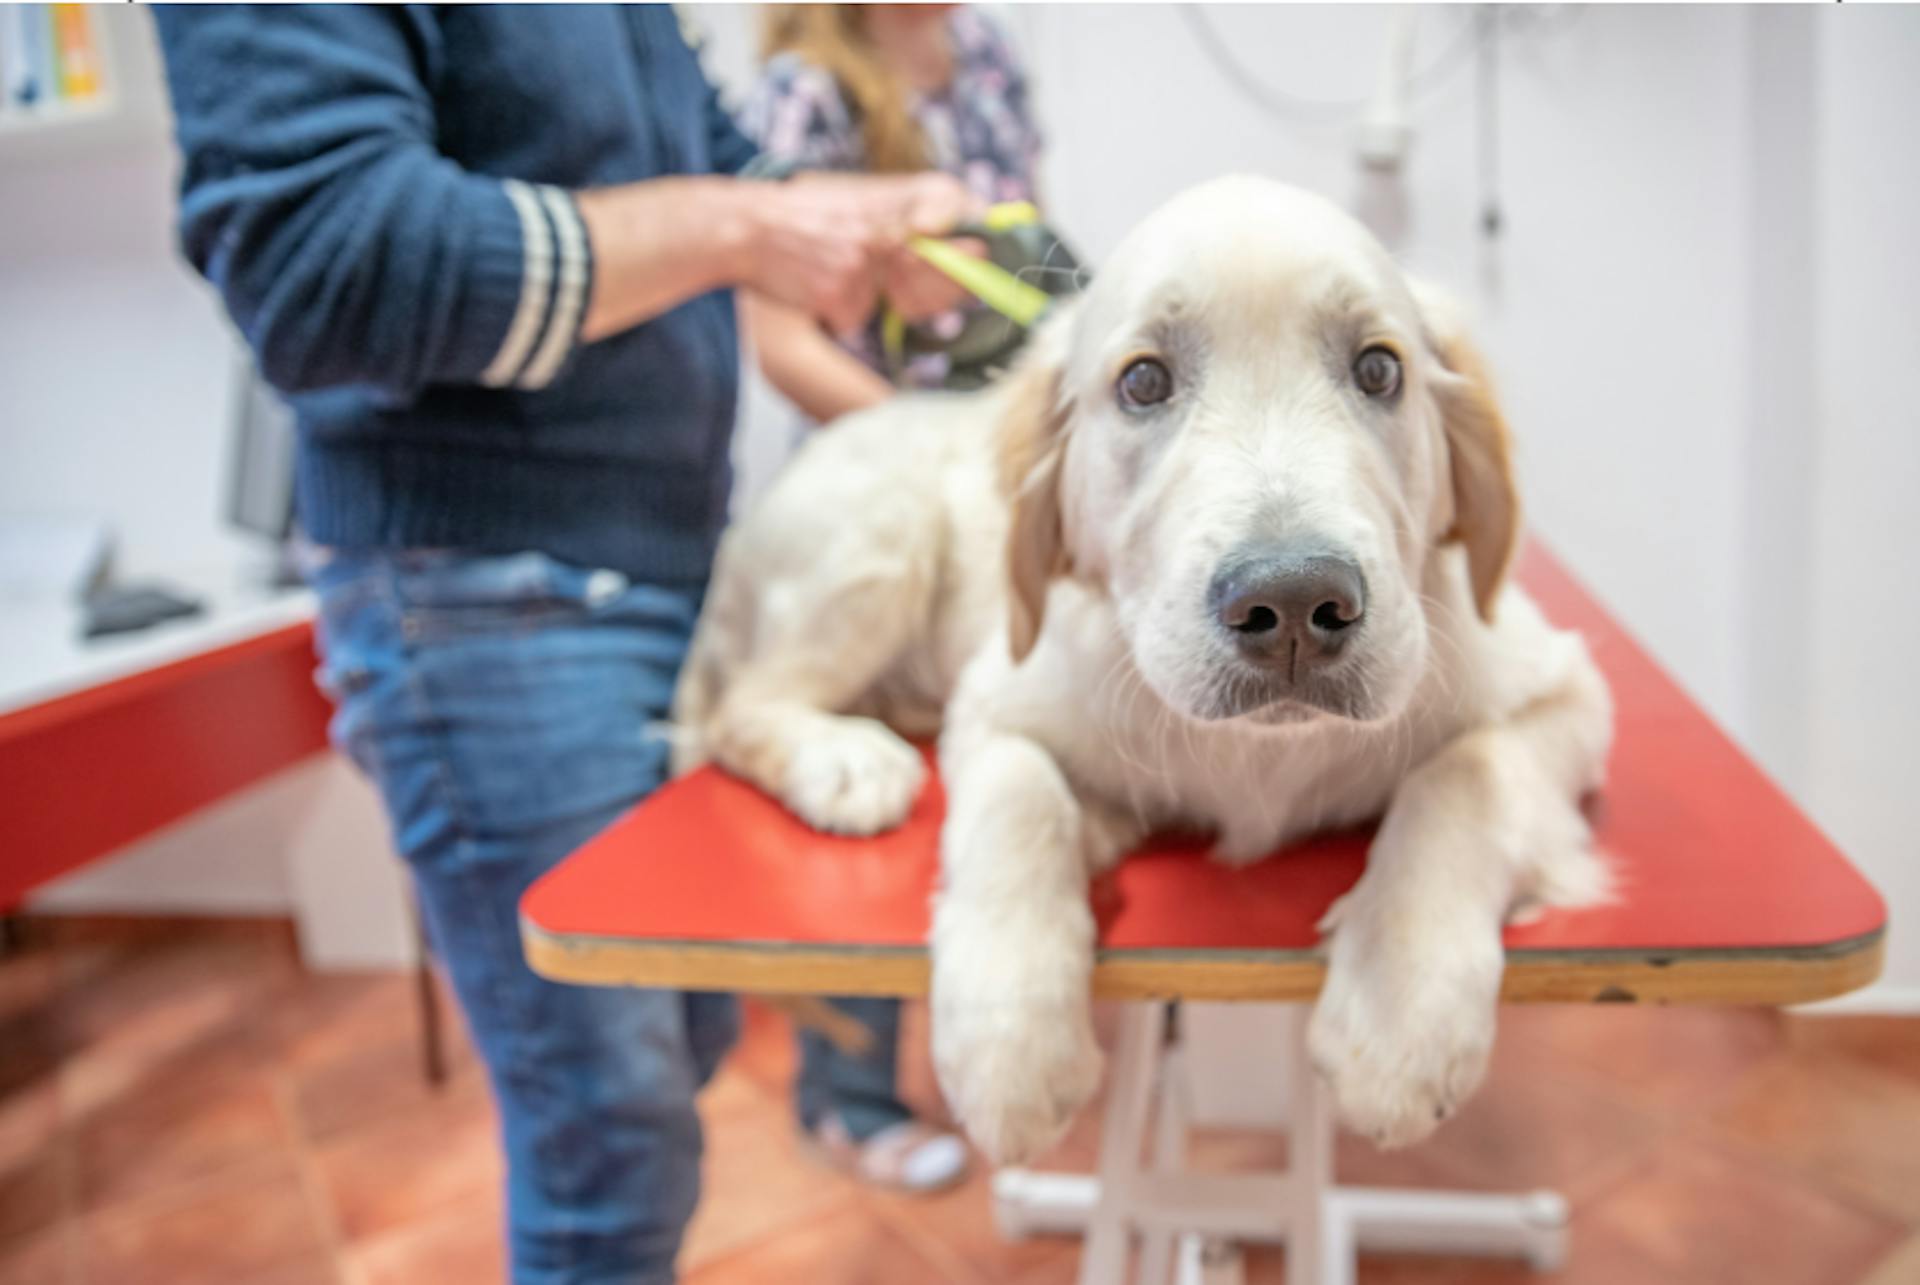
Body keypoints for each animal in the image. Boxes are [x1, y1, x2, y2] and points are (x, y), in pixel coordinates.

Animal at [683, 175, 1612, 1160]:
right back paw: (843, 760)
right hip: (881, 538)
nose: (1292, 605)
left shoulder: (1567, 689)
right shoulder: (998, 694)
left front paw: (1401, 1013)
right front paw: (1011, 1044)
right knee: (742, 707)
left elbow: (1467, 773)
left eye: (1378, 371)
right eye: (1143, 382)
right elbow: (1020, 803)